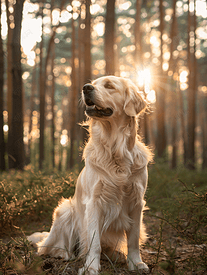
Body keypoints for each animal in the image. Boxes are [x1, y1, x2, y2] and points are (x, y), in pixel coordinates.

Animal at [27, 76, 152, 275]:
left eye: (109, 86)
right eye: (92, 83)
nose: (85, 88)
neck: (115, 150)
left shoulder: (136, 201)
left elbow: (133, 240)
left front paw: (136, 263)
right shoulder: (95, 202)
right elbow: (94, 242)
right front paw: (90, 266)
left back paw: (117, 255)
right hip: (65, 210)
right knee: (47, 247)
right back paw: (64, 254)